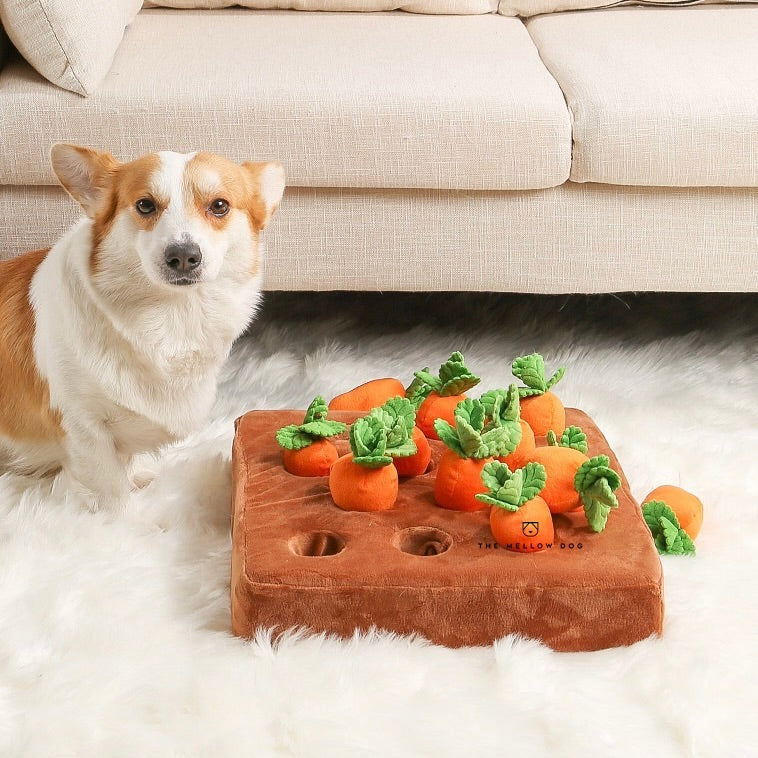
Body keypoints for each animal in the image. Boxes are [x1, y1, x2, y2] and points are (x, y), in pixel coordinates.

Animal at [0, 144, 284, 510]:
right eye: (145, 205)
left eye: (219, 205)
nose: (183, 256)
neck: (172, 316)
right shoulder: (84, 427)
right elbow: (111, 493)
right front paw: (123, 518)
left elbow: (128, 463)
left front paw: (138, 479)